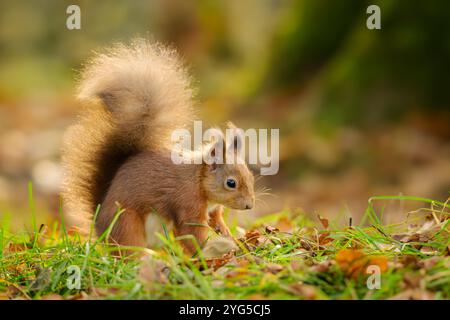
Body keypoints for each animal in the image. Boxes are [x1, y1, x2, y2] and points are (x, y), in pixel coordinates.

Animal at [61, 38, 255, 254]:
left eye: (251, 177)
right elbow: (191, 232)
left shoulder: (213, 210)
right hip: (126, 222)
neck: (199, 181)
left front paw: (232, 238)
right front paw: (205, 251)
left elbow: (217, 221)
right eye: (231, 183)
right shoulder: (187, 203)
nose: (249, 205)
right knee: (128, 249)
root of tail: (101, 226)